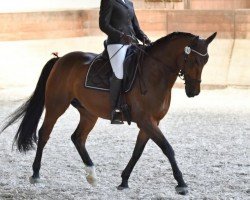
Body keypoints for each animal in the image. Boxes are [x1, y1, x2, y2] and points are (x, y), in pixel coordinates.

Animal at [1, 31, 217, 195]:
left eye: (206, 60)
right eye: (192, 59)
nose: (193, 92)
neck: (155, 73)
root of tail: (60, 59)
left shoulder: (150, 123)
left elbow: (137, 152)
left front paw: (124, 181)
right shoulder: (146, 121)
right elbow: (167, 148)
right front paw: (181, 184)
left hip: (89, 113)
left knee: (78, 138)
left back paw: (92, 175)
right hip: (56, 106)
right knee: (44, 134)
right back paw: (36, 174)